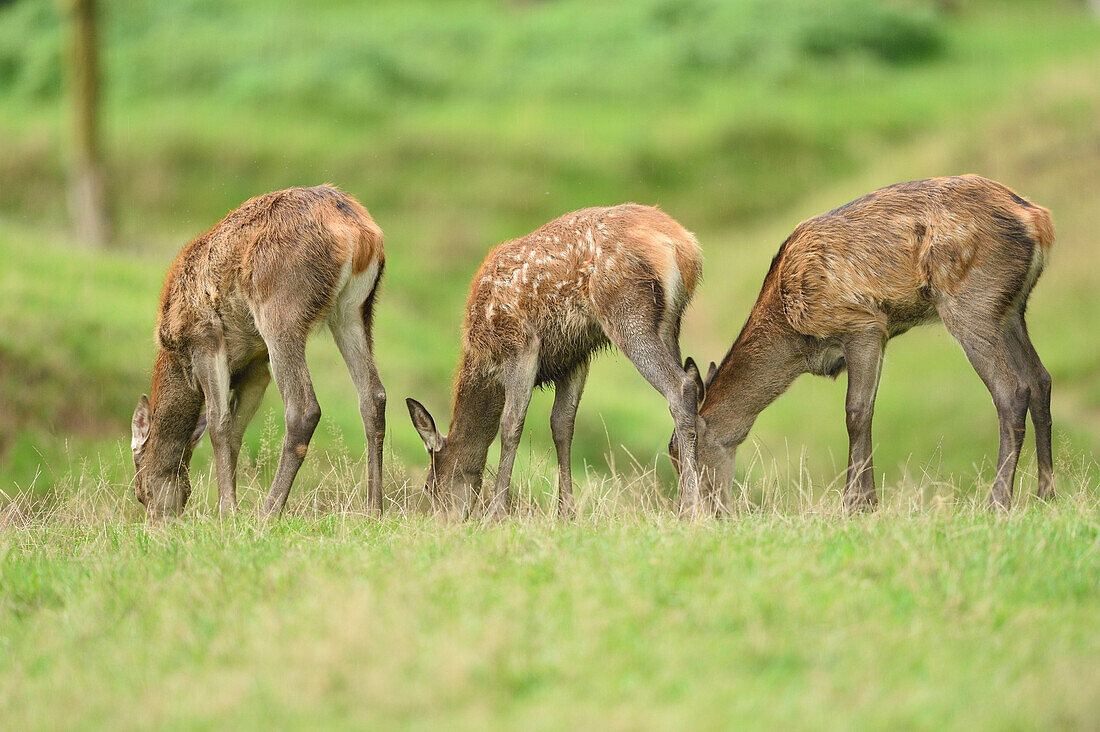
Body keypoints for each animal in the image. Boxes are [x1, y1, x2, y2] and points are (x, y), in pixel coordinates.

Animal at [129, 188, 389, 519]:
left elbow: (218, 423)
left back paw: (268, 512)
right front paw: (229, 505)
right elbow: (235, 431)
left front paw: (227, 512)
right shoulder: (255, 366)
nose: (159, 522)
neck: (175, 355)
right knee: (373, 395)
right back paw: (373, 510)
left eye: (140, 491)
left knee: (304, 408)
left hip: (280, 307)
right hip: (355, 309)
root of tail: (358, 233)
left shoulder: (205, 339)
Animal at [407, 202, 704, 517]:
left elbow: (511, 424)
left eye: (428, 486)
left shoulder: (521, 345)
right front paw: (566, 512)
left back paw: (690, 507)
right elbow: (562, 425)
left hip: (628, 310)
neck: (484, 359)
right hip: (670, 325)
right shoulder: (574, 356)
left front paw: (496, 512)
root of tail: (684, 246)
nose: (445, 522)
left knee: (680, 386)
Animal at [673, 173, 1051, 510]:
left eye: (679, 453)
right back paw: (1046, 494)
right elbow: (866, 410)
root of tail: (1038, 220)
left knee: (1012, 389)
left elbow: (856, 412)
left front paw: (857, 504)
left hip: (971, 303)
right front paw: (866, 500)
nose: (693, 511)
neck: (795, 337)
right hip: (1011, 309)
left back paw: (998, 501)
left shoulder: (863, 323)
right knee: (1040, 379)